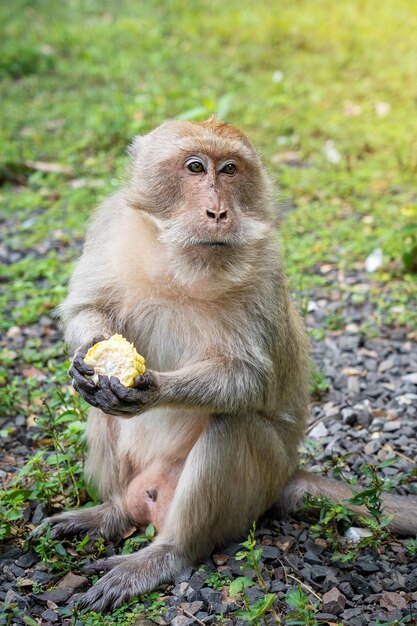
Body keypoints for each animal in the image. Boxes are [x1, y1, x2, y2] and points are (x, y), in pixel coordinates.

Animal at [39, 117, 417, 608]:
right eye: (196, 167)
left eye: (231, 169)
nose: (218, 212)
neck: (181, 261)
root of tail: (287, 475)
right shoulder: (112, 223)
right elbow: (86, 309)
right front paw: (89, 362)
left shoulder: (265, 266)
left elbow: (252, 380)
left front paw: (153, 389)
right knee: (102, 414)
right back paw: (111, 513)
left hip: (260, 483)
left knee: (231, 424)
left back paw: (165, 554)